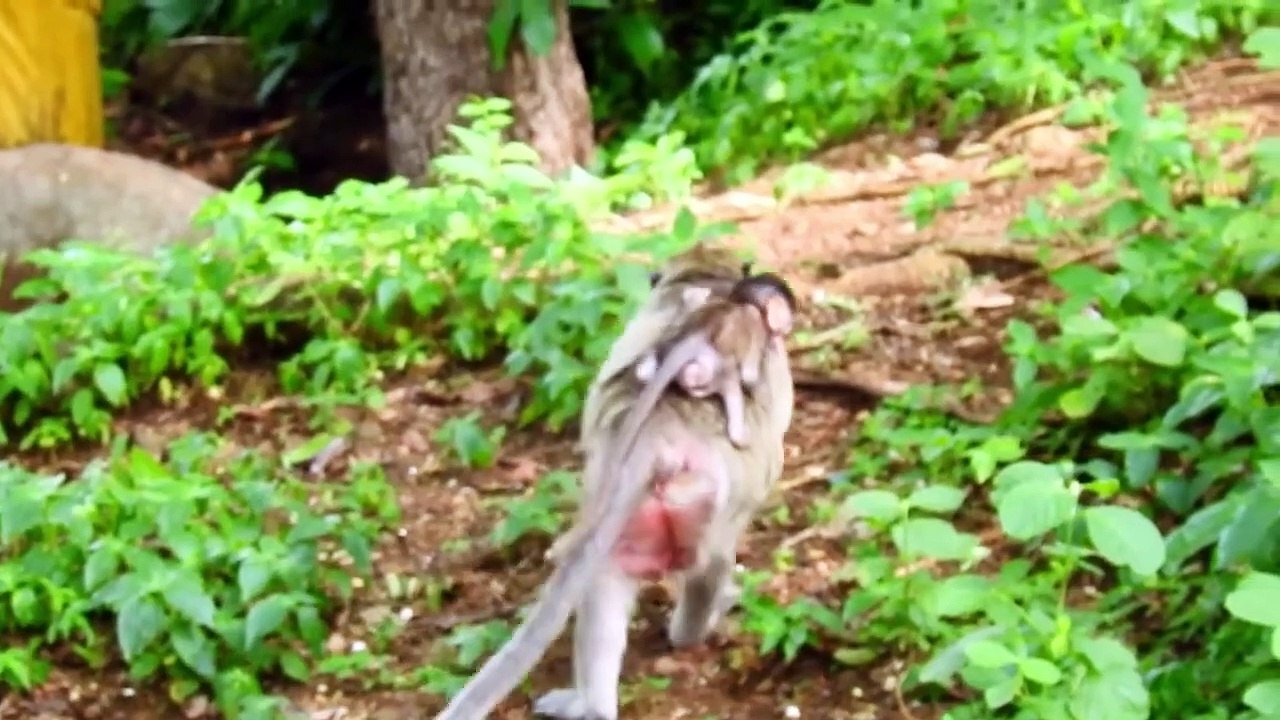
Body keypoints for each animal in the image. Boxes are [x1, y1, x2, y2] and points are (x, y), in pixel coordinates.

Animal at [632, 272, 797, 448]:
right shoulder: (758, 328)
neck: (737, 302)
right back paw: (738, 434)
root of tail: (698, 334)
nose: (789, 325)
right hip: (713, 366)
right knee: (729, 379)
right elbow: (749, 376)